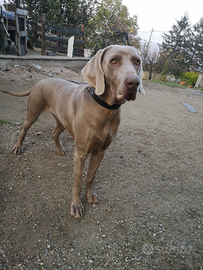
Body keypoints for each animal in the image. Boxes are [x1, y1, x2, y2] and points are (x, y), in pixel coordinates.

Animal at [0, 44, 145, 217]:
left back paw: (60, 149)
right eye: (113, 60)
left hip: (62, 121)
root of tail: (40, 82)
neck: (105, 109)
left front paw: (90, 195)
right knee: (23, 130)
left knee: (54, 133)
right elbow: (78, 182)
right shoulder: (80, 153)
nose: (134, 83)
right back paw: (18, 147)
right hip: (33, 113)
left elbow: (90, 177)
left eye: (137, 61)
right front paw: (76, 205)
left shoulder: (100, 151)